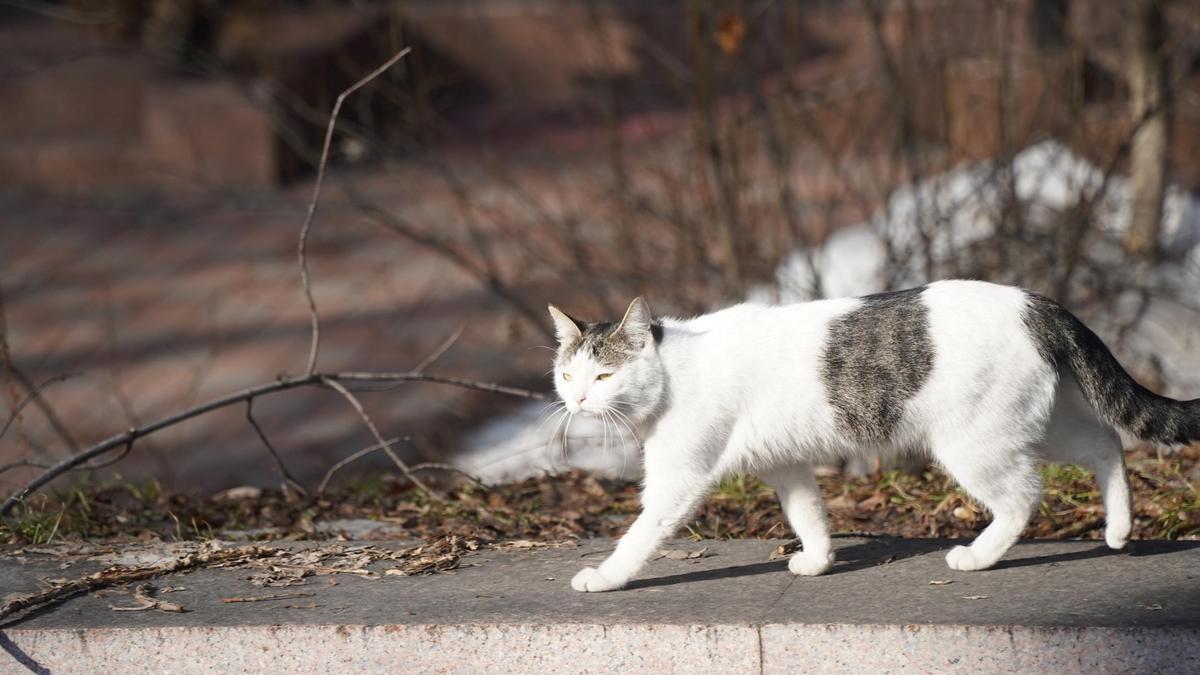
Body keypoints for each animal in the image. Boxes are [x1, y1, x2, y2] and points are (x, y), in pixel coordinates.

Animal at [549, 278, 1200, 588]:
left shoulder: (678, 480)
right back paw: (1119, 529)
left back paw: (978, 557)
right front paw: (817, 561)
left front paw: (604, 577)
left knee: (1023, 498)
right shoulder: (785, 465)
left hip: (974, 442)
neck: (673, 371)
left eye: (604, 375)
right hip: (1040, 422)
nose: (576, 398)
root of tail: (1035, 302)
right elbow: (808, 514)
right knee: (1107, 443)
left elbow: (638, 536)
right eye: (567, 373)